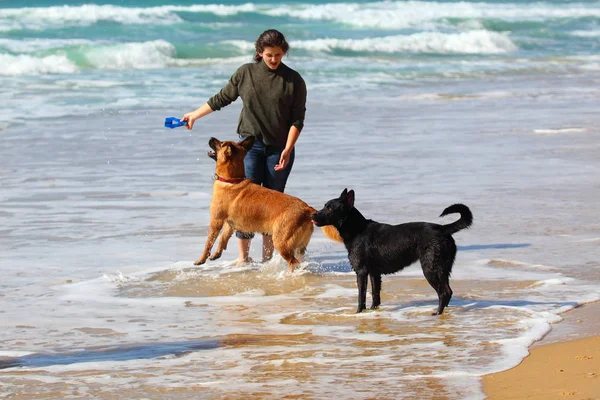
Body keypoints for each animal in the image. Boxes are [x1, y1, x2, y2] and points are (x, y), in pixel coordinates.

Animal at [193, 137, 340, 272]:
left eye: (220, 143)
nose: (211, 138)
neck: (232, 181)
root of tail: (306, 208)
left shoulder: (216, 221)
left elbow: (209, 242)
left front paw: (201, 260)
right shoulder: (230, 224)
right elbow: (223, 238)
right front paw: (216, 254)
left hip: (281, 242)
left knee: (293, 262)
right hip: (299, 247)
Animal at [310, 189, 474, 314]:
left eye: (330, 208)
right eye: (325, 206)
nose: (312, 215)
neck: (357, 229)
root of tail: (443, 229)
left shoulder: (361, 272)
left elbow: (361, 296)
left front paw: (358, 312)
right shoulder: (374, 273)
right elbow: (375, 295)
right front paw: (373, 310)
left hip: (430, 268)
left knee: (444, 292)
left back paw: (437, 313)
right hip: (443, 268)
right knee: (448, 292)